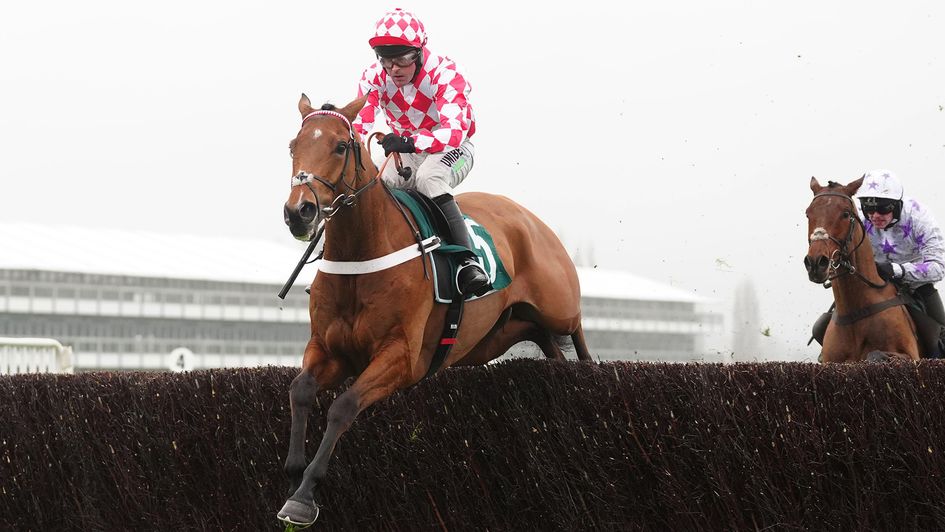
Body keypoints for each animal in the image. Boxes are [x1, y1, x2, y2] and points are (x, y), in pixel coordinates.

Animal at [276, 94, 592, 524]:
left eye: (340, 146)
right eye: (294, 146)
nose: (299, 212)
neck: (362, 256)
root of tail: (529, 218)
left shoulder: (402, 357)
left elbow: (343, 407)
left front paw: (306, 493)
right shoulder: (328, 348)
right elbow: (301, 391)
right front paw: (294, 477)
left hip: (558, 305)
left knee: (575, 328)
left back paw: (590, 369)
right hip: (498, 335)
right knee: (548, 343)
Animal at [800, 177, 920, 364]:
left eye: (845, 214)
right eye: (808, 213)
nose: (815, 263)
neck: (855, 313)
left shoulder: (911, 356)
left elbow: (874, 354)